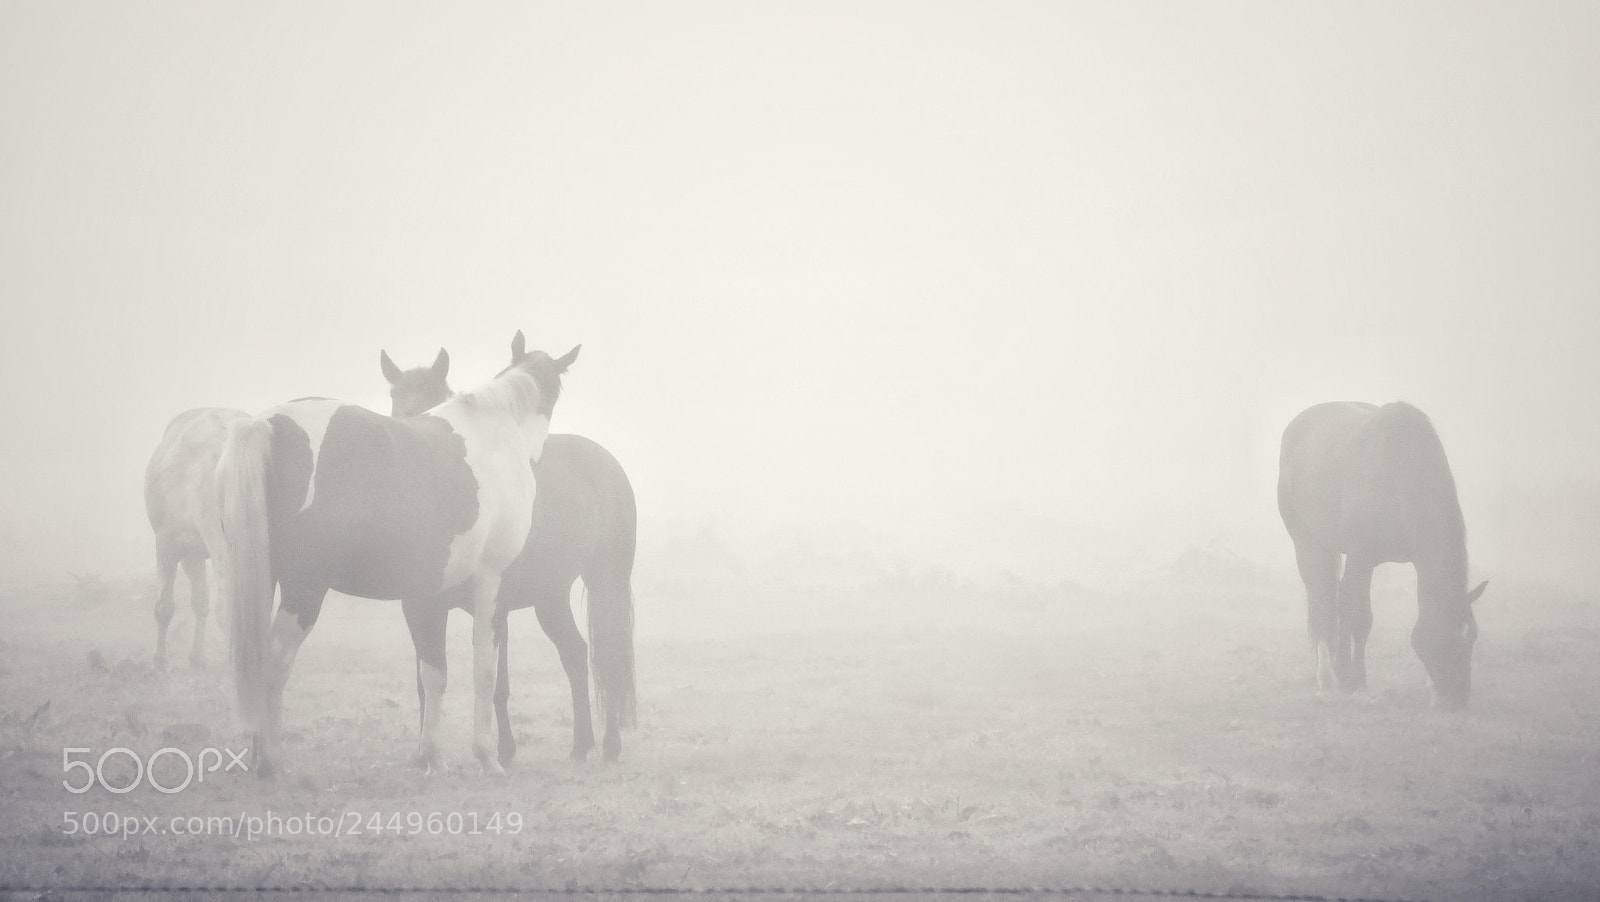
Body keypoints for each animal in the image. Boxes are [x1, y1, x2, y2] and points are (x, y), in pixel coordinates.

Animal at [144, 407, 249, 668]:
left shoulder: (170, 546)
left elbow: (164, 606)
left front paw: (160, 659)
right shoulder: (192, 553)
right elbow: (200, 602)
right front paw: (197, 656)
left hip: (221, 546)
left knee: (226, 605)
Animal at [217, 332, 578, 778]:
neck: (498, 431)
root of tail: (267, 426)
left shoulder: (428, 597)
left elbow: (433, 673)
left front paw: (432, 755)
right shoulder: (490, 584)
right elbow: (484, 671)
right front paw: (487, 756)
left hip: (259, 579)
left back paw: (253, 757)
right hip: (304, 590)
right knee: (275, 660)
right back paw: (271, 761)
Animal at [380, 347, 636, 763]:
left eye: (433, 403)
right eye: (394, 399)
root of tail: (607, 464)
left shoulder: (495, 608)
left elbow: (495, 682)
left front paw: (502, 749)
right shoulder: (418, 607)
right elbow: (426, 679)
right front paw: (425, 750)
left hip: (606, 584)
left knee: (608, 655)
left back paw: (610, 745)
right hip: (551, 597)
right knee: (575, 653)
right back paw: (581, 744)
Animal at [1277, 401, 1487, 709]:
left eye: (1472, 636)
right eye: (1444, 637)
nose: (1456, 700)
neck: (1396, 471)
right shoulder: (1362, 556)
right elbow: (1360, 618)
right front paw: (1357, 683)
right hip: (1309, 546)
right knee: (1322, 605)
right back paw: (1327, 680)